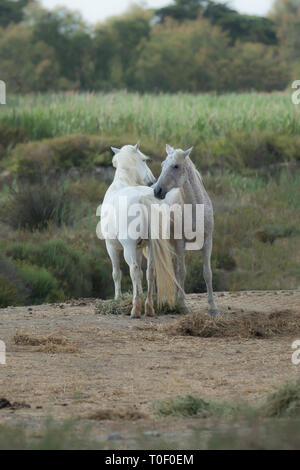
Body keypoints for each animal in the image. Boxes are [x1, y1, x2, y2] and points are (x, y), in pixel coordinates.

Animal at [99, 144, 178, 320]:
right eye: (144, 160)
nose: (153, 182)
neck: (122, 183)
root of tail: (143, 197)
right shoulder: (139, 248)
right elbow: (142, 274)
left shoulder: (111, 246)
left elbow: (117, 273)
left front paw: (117, 299)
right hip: (150, 245)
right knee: (150, 271)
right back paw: (148, 308)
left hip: (128, 247)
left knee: (134, 270)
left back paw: (135, 309)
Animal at [154, 145, 219, 318]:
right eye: (162, 164)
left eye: (175, 166)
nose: (157, 191)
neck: (195, 209)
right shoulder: (180, 243)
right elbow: (182, 272)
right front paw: (183, 306)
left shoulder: (207, 241)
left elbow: (207, 273)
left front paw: (213, 307)